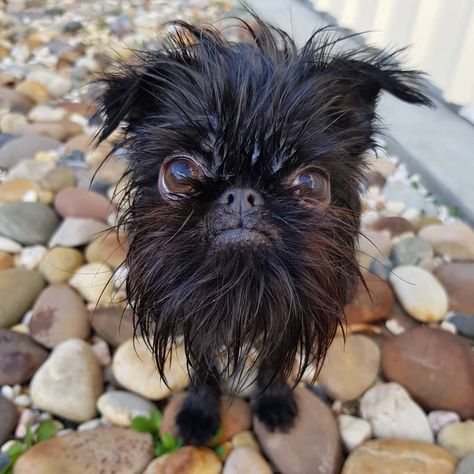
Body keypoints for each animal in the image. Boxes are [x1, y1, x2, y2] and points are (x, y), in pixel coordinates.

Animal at [96, 15, 430, 444]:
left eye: (310, 184)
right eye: (180, 173)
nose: (241, 195)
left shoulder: (291, 318)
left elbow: (274, 362)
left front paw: (273, 401)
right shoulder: (194, 319)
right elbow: (204, 370)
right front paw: (200, 412)